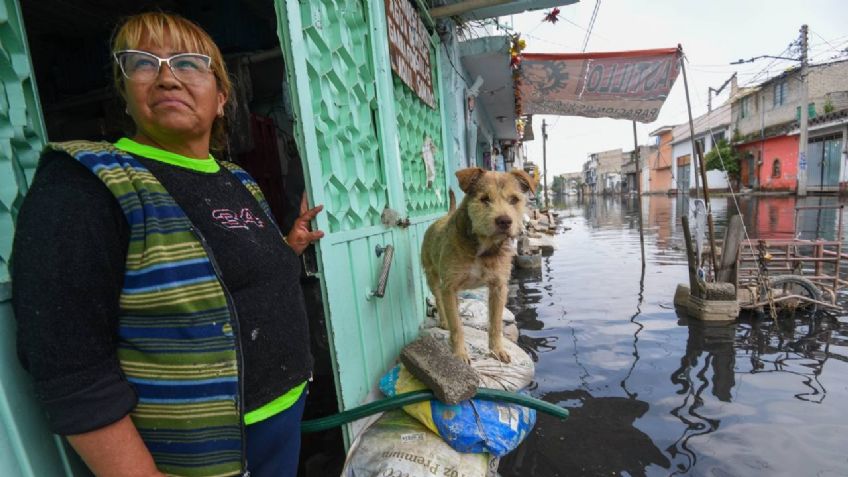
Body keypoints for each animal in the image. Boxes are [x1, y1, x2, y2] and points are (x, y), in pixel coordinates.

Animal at [422, 167, 536, 360]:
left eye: (514, 199)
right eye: (484, 199)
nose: (505, 221)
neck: (482, 249)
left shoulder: (499, 287)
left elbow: (496, 324)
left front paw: (497, 350)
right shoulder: (449, 287)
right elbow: (456, 326)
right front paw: (459, 354)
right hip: (433, 277)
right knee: (439, 299)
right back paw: (444, 321)